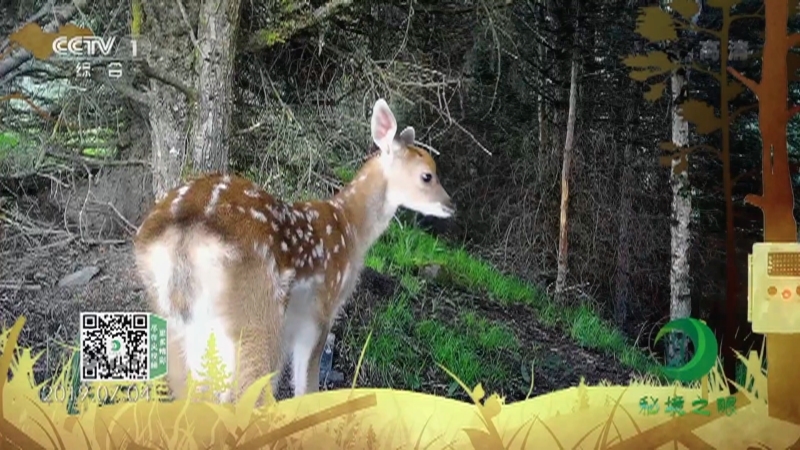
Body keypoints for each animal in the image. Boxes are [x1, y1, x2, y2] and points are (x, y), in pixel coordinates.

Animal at [133, 98, 456, 403]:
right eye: (427, 175)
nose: (451, 205)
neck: (349, 230)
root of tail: (184, 231)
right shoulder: (322, 307)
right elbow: (306, 384)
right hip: (254, 312)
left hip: (170, 317)